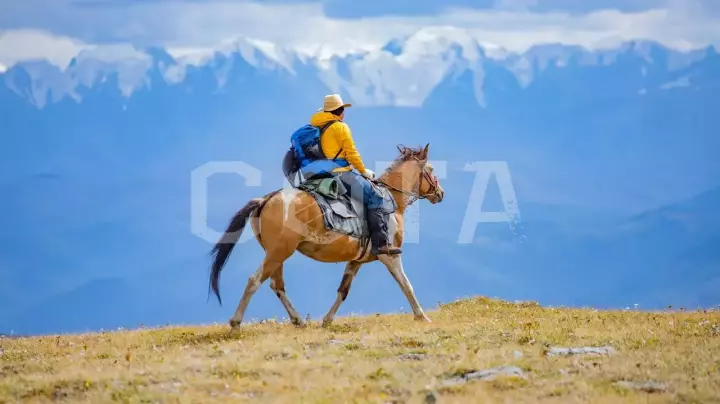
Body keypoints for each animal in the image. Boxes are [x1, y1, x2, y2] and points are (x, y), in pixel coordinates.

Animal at [208, 144, 442, 330]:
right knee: (255, 280)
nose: (440, 193)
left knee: (277, 285)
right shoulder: (390, 256)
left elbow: (343, 291)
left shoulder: (356, 261)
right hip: (279, 252)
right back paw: (236, 323)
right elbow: (406, 284)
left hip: (276, 253)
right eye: (430, 170)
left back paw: (298, 320)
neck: (391, 200)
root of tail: (267, 199)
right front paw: (422, 317)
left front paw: (327, 320)